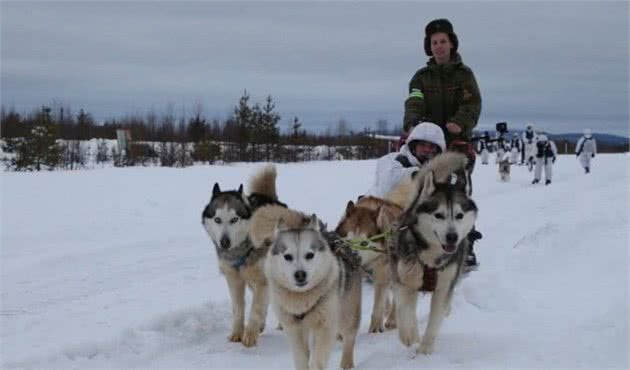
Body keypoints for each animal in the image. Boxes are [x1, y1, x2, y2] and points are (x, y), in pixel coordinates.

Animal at [202, 165, 286, 346]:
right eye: (217, 219)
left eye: (234, 219)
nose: (224, 242)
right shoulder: (234, 279)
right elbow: (238, 308)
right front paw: (237, 332)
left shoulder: (262, 280)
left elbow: (255, 309)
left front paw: (250, 335)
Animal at [252, 207, 360, 370]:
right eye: (287, 256)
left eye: (309, 255)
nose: (300, 274)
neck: (302, 299)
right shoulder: (294, 329)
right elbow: (302, 358)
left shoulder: (324, 327)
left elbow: (317, 360)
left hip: (346, 314)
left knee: (349, 336)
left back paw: (346, 363)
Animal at [334, 197, 402, 332]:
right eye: (349, 241)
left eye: (364, 243)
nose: (352, 257)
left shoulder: (382, 272)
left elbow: (379, 303)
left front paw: (375, 327)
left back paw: (392, 319)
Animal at [390, 153, 478, 356]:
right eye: (438, 215)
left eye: (459, 215)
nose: (452, 237)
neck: (431, 258)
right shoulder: (404, 282)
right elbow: (404, 310)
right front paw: (408, 335)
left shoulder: (443, 288)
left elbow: (434, 320)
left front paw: (425, 349)